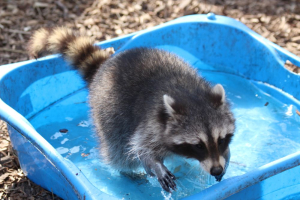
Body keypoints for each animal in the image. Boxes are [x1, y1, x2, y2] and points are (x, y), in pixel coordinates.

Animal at [27, 27, 234, 193]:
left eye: (221, 139)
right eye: (198, 145)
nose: (216, 169)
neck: (191, 95)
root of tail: (106, 65)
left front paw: (225, 156)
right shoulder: (151, 122)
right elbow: (141, 147)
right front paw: (155, 165)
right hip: (108, 114)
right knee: (120, 151)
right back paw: (127, 171)